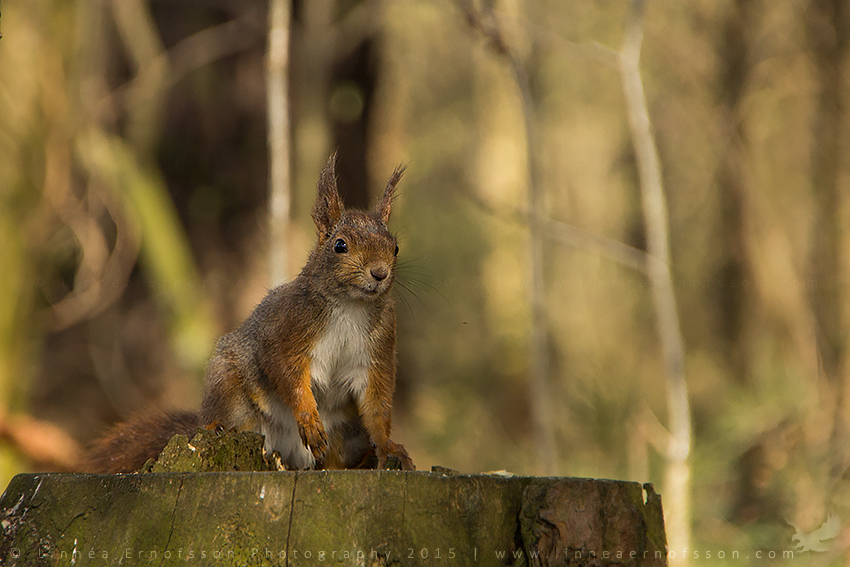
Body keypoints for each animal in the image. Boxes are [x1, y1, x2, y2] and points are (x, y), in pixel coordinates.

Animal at [87, 155, 414, 474]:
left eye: (396, 248)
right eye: (340, 245)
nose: (380, 273)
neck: (350, 305)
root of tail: (291, 455)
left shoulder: (379, 350)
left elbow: (377, 404)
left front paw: (388, 447)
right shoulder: (285, 330)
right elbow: (288, 376)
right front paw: (309, 420)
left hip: (346, 432)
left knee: (333, 460)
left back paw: (362, 458)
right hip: (230, 387)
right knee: (227, 417)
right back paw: (217, 426)